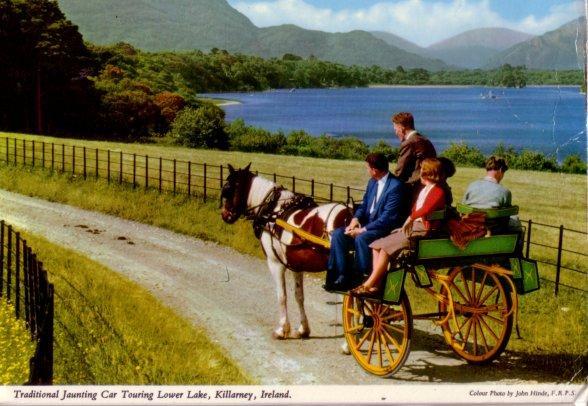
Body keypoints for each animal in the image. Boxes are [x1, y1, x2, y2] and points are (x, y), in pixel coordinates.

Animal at [219, 165, 350, 340]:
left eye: (228, 189)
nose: (224, 215)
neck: (272, 212)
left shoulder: (275, 263)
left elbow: (282, 296)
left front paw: (282, 329)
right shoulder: (297, 266)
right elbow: (299, 296)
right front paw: (303, 329)